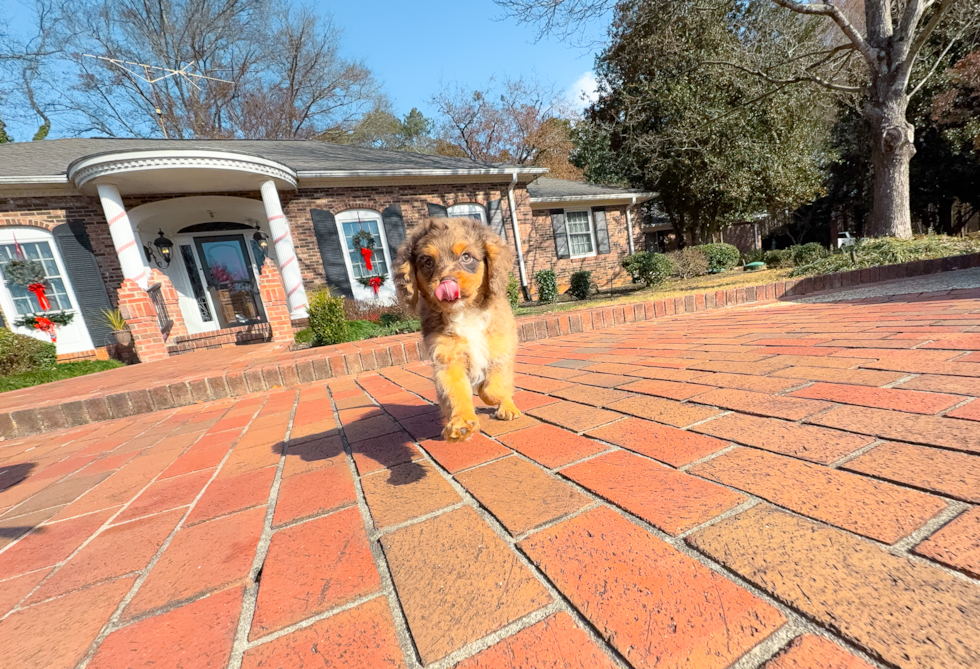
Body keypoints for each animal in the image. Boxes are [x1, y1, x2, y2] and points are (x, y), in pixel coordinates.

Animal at [396, 217, 524, 440]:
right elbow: (455, 392)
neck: (465, 313)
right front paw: (461, 423)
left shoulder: (499, 349)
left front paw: (495, 397)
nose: (447, 283)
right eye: (428, 262)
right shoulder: (447, 358)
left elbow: (494, 390)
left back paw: (508, 408)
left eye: (466, 257)